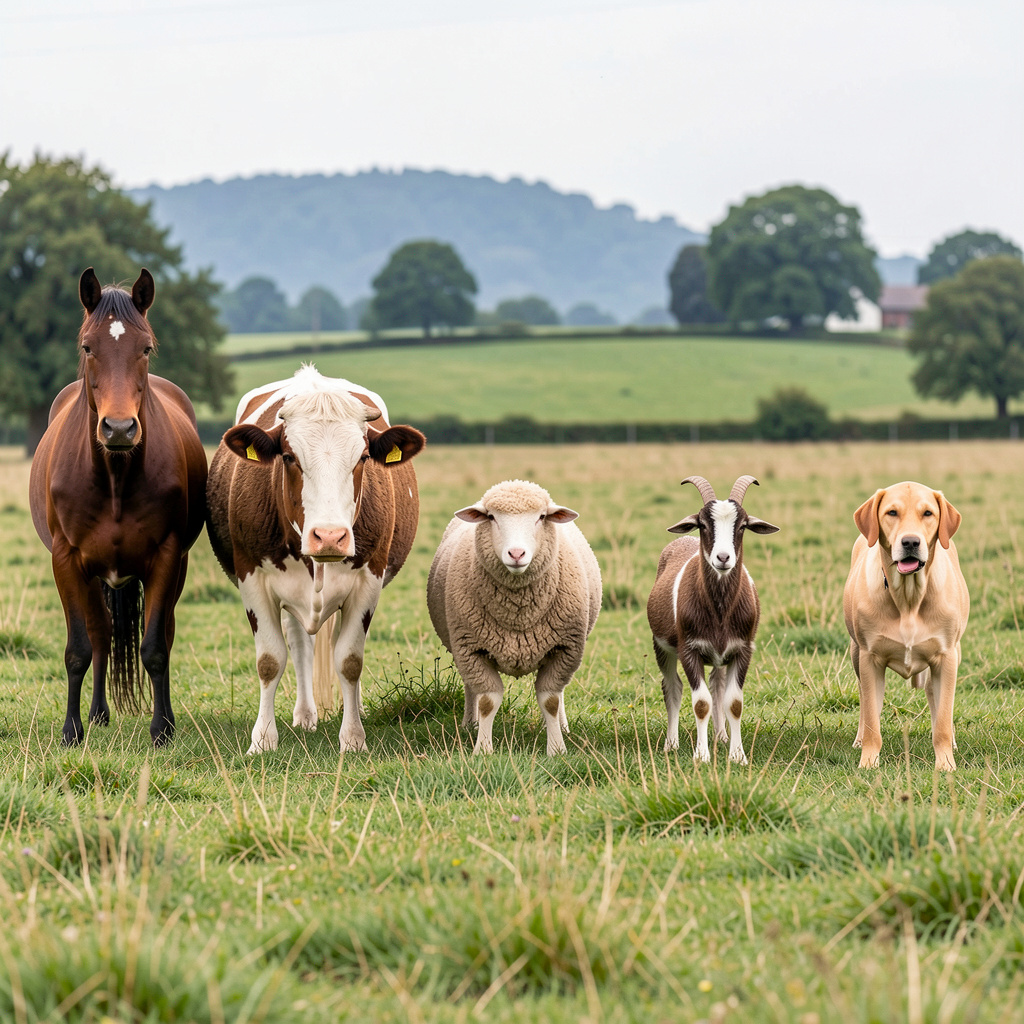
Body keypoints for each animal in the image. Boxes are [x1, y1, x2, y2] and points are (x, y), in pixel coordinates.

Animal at [29, 268, 208, 746]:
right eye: (87, 347)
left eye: (145, 347)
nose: (120, 428)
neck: (114, 477)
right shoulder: (66, 560)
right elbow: (79, 649)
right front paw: (71, 730)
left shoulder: (166, 557)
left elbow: (155, 647)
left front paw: (161, 729)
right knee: (102, 634)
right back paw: (96, 714)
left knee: (162, 631)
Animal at [205, 366, 425, 753]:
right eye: (289, 457)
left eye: (363, 458)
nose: (330, 537)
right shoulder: (252, 579)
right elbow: (270, 660)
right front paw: (263, 739)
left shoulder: (368, 581)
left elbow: (350, 660)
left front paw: (353, 738)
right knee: (300, 645)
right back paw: (305, 715)